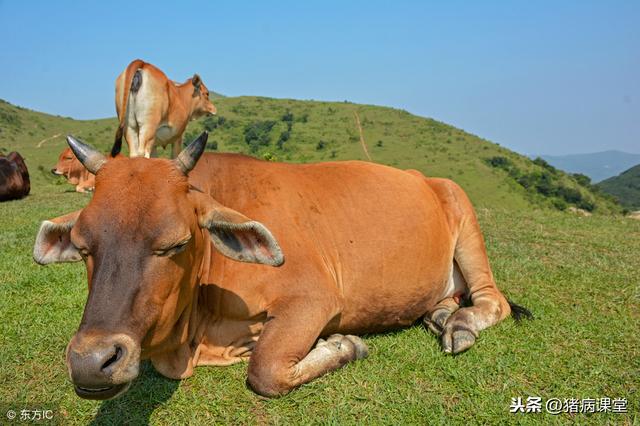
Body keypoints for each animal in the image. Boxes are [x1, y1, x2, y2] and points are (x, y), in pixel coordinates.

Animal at [32, 132, 528, 400]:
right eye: (83, 245)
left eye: (176, 243)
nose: (91, 363)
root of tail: (423, 177)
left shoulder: (314, 299)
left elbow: (266, 369)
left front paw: (342, 346)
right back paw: (441, 315)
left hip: (464, 213)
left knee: (494, 302)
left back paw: (459, 324)